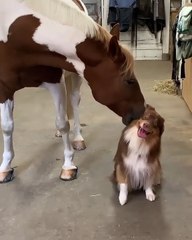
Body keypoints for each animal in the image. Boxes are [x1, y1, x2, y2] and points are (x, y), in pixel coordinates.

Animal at [0, 0, 145, 183]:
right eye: (129, 80)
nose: (142, 110)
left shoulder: (55, 82)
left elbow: (63, 124)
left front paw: (68, 166)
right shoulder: (4, 88)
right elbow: (7, 126)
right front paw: (5, 168)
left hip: (75, 76)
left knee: (75, 102)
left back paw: (77, 138)